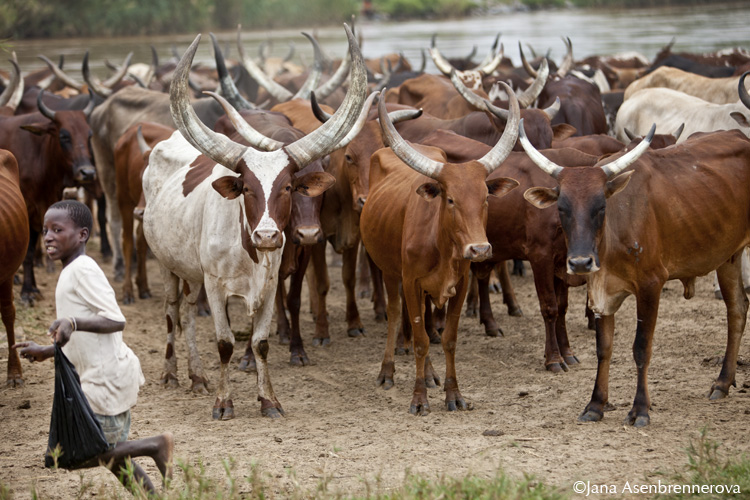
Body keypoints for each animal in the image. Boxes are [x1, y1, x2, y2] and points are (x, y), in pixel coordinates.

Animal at [0, 90, 96, 305]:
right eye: (64, 135)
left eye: (89, 135)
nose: (87, 172)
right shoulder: (26, 212)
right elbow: (28, 254)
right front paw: (27, 291)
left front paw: (33, 287)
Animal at [113, 122, 175, 305]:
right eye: (141, 178)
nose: (140, 212)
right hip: (124, 200)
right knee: (127, 242)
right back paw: (128, 291)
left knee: (141, 241)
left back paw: (143, 287)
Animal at [142, 26, 368, 420]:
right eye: (246, 188)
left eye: (288, 187)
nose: (266, 235)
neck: (246, 251)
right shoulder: (217, 288)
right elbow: (225, 343)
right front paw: (223, 402)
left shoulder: (269, 283)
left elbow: (261, 341)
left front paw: (269, 400)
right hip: (166, 264)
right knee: (172, 313)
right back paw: (171, 373)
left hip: (191, 272)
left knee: (189, 312)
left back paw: (197, 376)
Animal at [360, 83, 519, 414]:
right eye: (450, 200)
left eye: (485, 197)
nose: (479, 249)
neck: (441, 246)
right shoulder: (409, 281)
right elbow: (420, 340)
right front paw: (419, 399)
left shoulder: (460, 283)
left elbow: (448, 338)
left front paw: (453, 394)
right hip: (389, 272)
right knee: (395, 313)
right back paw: (387, 371)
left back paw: (431, 375)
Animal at [519, 122, 750, 427]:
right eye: (561, 208)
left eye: (601, 207)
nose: (580, 262)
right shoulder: (599, 293)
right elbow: (604, 348)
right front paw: (596, 404)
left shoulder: (651, 285)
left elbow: (641, 348)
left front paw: (640, 409)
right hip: (728, 257)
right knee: (737, 309)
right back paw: (722, 383)